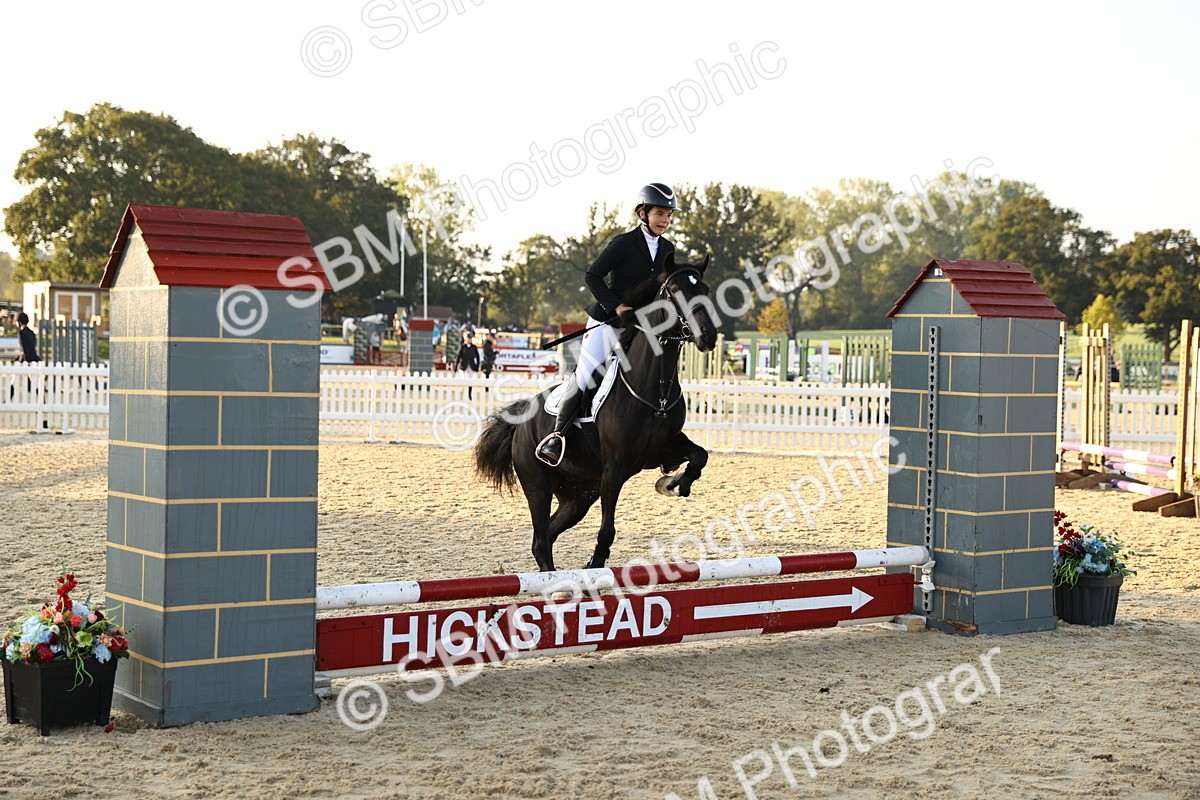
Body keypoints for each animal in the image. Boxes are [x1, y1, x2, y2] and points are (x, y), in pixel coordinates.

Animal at [474, 254, 720, 572]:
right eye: (675, 291)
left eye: (706, 289)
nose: (708, 336)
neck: (656, 389)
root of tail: (521, 419)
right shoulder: (614, 469)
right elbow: (607, 528)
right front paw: (595, 561)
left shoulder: (662, 449)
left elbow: (699, 456)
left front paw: (673, 484)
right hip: (538, 486)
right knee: (540, 540)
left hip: (578, 497)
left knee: (547, 536)